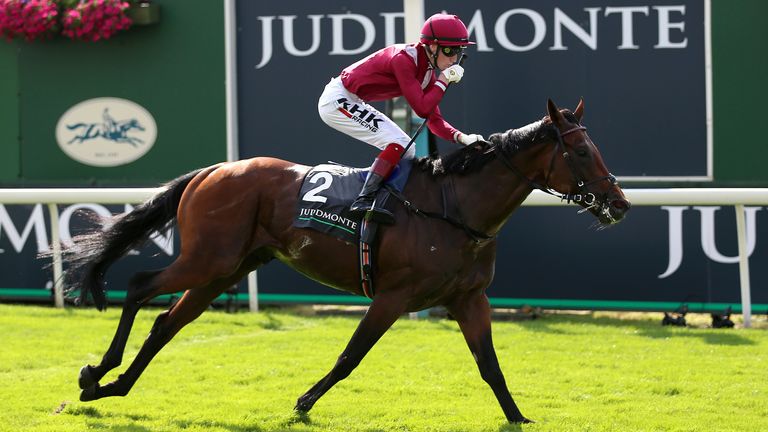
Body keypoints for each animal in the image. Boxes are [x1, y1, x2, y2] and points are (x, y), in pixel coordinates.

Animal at [66, 98, 632, 426]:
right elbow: (350, 357)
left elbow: (490, 366)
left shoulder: (469, 298)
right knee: (141, 286)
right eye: (582, 153)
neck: (456, 208)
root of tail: (212, 170)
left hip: (226, 268)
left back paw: (112, 386)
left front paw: (518, 418)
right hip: (208, 258)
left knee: (167, 322)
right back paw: (97, 372)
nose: (620, 203)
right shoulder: (393, 295)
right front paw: (302, 403)